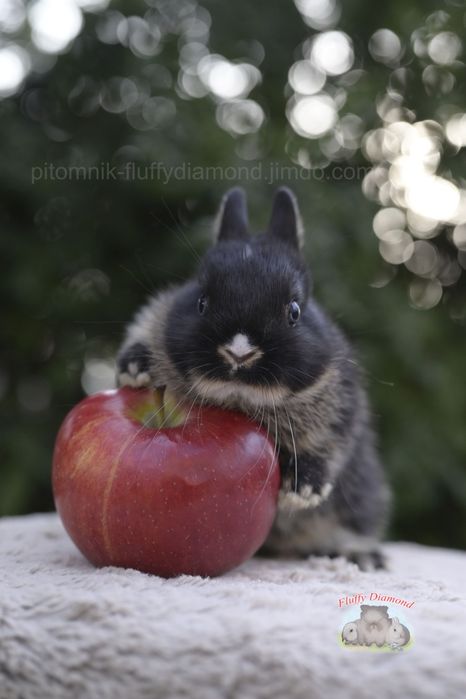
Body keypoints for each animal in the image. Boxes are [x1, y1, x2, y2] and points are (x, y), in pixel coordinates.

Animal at [116, 187, 390, 569]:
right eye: (201, 301)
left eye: (294, 311)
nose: (239, 353)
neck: (240, 399)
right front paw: (135, 368)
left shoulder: (341, 411)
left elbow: (328, 446)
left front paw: (303, 490)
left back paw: (361, 557)